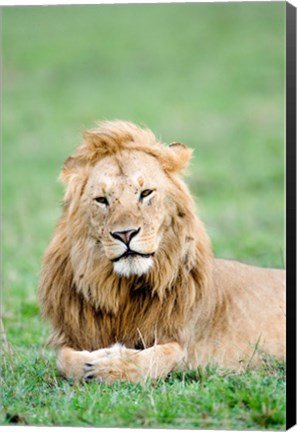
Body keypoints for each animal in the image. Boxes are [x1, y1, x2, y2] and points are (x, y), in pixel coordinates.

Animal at [38, 120, 284, 384]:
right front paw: (94, 363)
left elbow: (156, 358)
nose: (125, 234)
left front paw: (109, 366)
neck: (124, 293)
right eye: (102, 200)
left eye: (145, 193)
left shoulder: (189, 349)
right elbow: (64, 360)